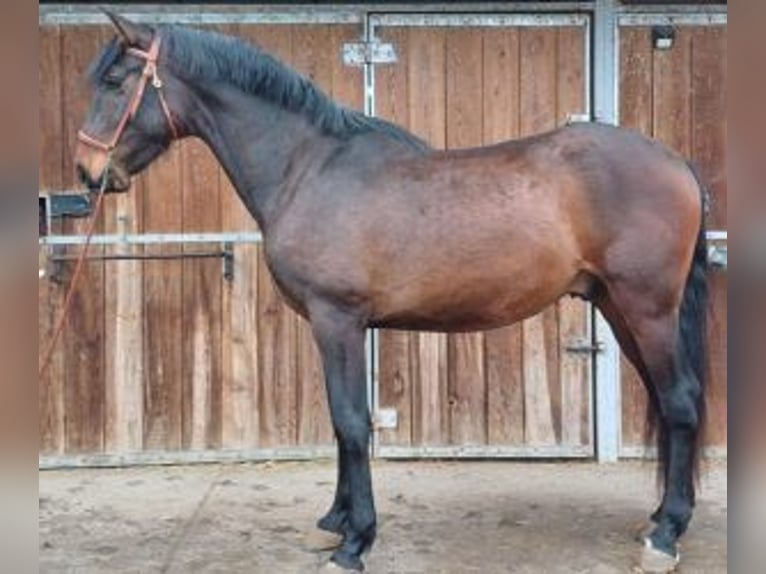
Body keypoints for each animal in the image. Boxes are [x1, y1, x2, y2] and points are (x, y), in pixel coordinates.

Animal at [74, 13, 709, 573]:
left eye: (115, 81)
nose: (87, 172)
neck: (308, 168)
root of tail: (676, 162)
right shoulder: (330, 327)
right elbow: (339, 423)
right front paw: (335, 521)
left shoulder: (338, 320)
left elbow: (353, 422)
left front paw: (354, 543)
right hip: (618, 308)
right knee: (667, 400)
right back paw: (657, 519)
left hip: (647, 309)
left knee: (678, 401)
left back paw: (666, 537)